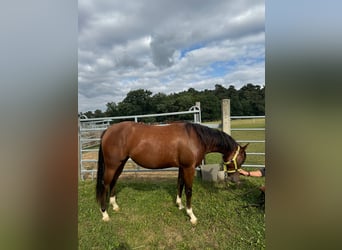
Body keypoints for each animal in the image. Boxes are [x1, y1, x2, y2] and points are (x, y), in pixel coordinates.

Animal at [95, 120, 247, 224]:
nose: (235, 180)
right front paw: (191, 215)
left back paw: (114, 206)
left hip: (120, 164)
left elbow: (180, 184)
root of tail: (108, 130)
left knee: (113, 181)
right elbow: (189, 190)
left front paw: (179, 205)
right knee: (105, 184)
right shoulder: (189, 167)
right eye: (240, 160)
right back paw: (104, 213)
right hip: (112, 165)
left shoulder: (182, 167)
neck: (195, 138)